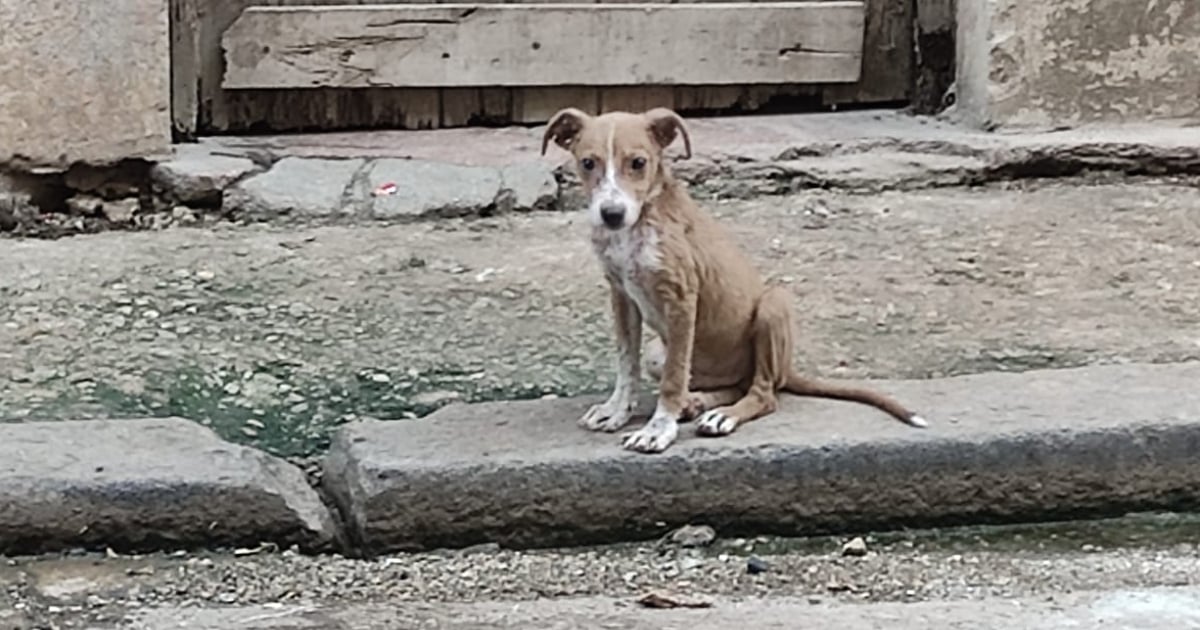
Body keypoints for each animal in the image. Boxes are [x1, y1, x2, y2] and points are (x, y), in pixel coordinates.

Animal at [544, 106, 926, 451]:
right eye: (588, 163)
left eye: (638, 163)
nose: (611, 214)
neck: (637, 226)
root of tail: (788, 369)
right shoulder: (621, 295)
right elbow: (627, 362)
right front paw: (617, 411)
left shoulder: (681, 300)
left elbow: (673, 377)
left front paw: (658, 430)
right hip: (660, 350)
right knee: (736, 385)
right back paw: (698, 403)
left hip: (774, 305)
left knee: (764, 393)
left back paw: (722, 415)